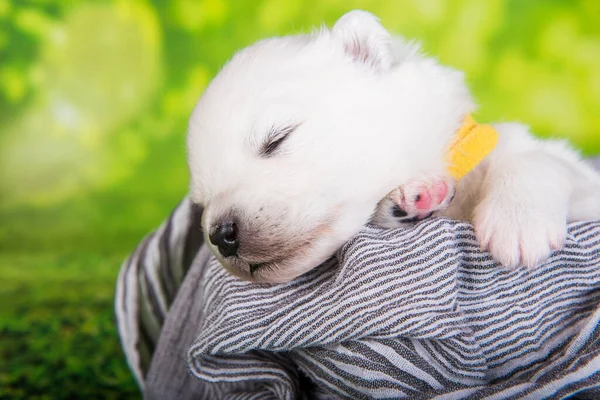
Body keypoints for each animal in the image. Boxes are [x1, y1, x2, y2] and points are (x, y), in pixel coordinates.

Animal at [188, 10, 600, 284]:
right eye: (200, 203)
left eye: (277, 138)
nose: (221, 235)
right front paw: (412, 198)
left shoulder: (583, 186)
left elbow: (539, 158)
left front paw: (518, 223)